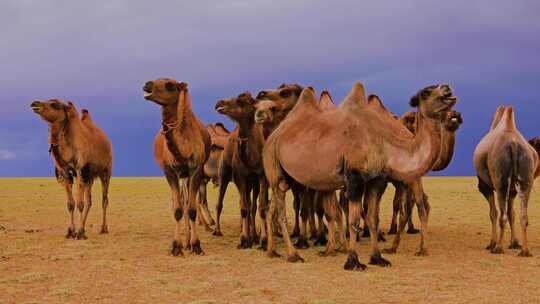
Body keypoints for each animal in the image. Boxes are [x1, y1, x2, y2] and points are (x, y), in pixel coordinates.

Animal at [30, 100, 112, 240]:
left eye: (54, 104)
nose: (34, 103)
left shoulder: (80, 169)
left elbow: (80, 203)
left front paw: (78, 233)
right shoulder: (64, 172)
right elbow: (71, 204)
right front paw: (72, 232)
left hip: (106, 171)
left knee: (104, 200)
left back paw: (103, 228)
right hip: (90, 176)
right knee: (89, 201)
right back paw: (84, 229)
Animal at [143, 78, 211, 256]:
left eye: (170, 85)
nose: (147, 84)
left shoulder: (196, 169)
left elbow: (192, 209)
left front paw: (196, 245)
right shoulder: (169, 170)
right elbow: (177, 210)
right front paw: (176, 246)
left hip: (187, 175)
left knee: (187, 202)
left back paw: (188, 242)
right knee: (179, 201)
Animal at [264, 82, 458, 270]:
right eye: (426, 92)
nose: (447, 89)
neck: (384, 141)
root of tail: (274, 135)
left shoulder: (375, 180)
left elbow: (372, 219)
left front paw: (378, 258)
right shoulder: (354, 177)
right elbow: (354, 220)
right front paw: (353, 261)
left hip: (290, 177)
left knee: (275, 208)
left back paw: (273, 251)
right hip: (273, 165)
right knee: (280, 211)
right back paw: (293, 255)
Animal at [474, 107, 536, 256]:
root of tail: (513, 143)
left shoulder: (485, 186)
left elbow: (493, 213)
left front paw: (491, 243)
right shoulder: (513, 191)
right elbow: (511, 213)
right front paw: (514, 243)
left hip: (500, 180)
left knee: (502, 215)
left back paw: (498, 248)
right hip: (526, 175)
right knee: (523, 216)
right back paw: (525, 251)